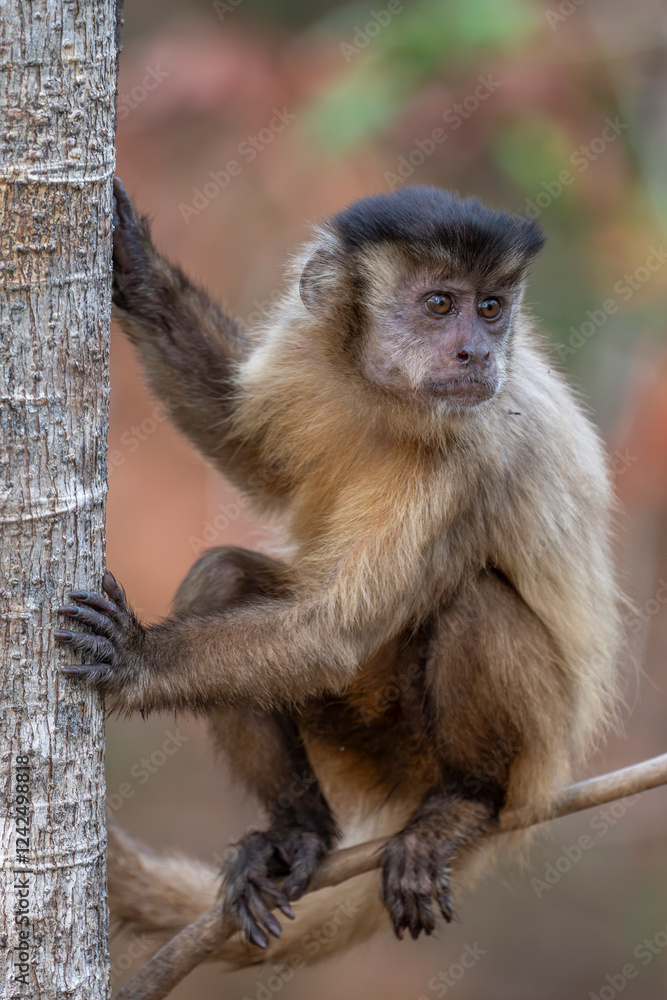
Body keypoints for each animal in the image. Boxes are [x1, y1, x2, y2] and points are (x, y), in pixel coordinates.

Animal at [55, 180, 621, 963]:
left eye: (490, 308)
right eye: (439, 304)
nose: (477, 350)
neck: (388, 400)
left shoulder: (476, 450)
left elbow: (332, 637)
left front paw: (134, 658)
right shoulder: (311, 354)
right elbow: (242, 442)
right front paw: (135, 267)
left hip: (515, 756)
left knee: (469, 603)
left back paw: (464, 803)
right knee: (221, 579)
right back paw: (300, 835)